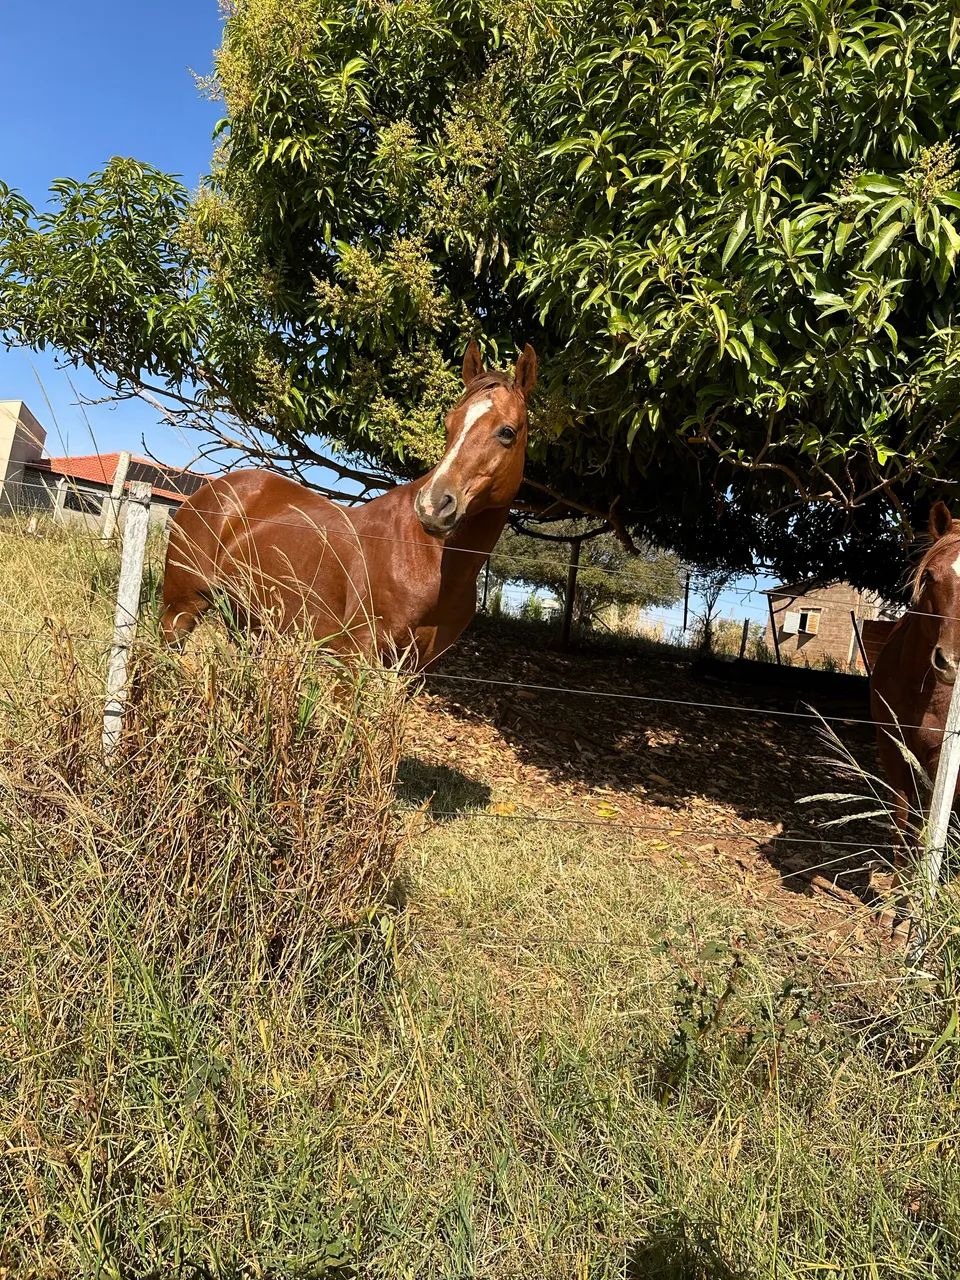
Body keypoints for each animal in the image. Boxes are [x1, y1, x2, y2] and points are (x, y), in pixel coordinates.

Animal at [160, 341, 537, 669]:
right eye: (449, 424)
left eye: (507, 432)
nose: (433, 505)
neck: (423, 556)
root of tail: (211, 492)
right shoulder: (358, 655)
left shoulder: (415, 668)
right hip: (181, 610)